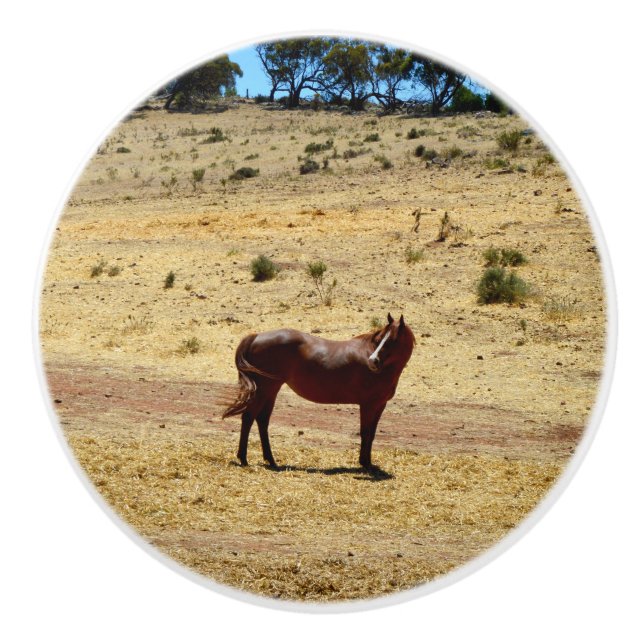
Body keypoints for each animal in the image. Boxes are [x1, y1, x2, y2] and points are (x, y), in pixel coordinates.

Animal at [221, 313, 415, 470]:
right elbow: (365, 432)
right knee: (248, 418)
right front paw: (365, 463)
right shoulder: (368, 405)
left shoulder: (380, 405)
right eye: (381, 337)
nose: (373, 361)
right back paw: (244, 459)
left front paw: (368, 462)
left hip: (271, 390)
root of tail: (256, 336)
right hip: (265, 390)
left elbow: (372, 434)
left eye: (392, 340)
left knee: (262, 421)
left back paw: (270, 460)